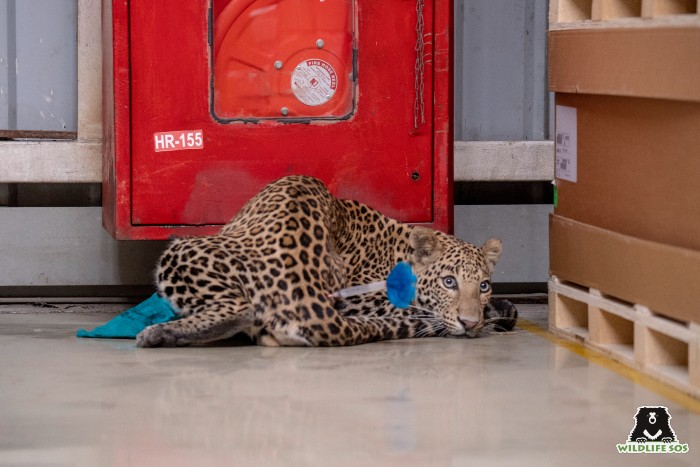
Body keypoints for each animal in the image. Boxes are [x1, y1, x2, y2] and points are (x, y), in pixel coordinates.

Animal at [137, 176, 512, 348]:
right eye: (449, 282)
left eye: (483, 286)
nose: (470, 323)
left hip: (182, 249)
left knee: (241, 310)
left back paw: (160, 332)